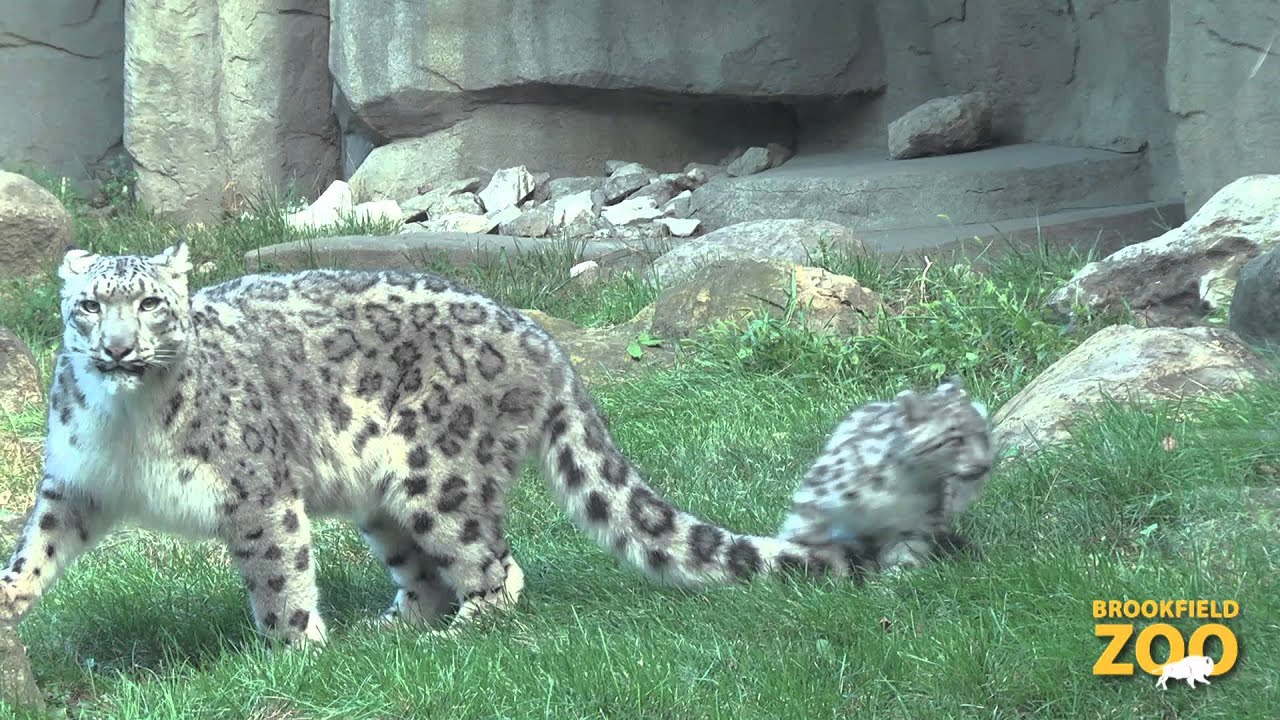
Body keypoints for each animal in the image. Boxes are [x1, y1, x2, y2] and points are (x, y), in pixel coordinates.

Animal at [0, 241, 869, 647]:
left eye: (150, 303)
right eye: (87, 306)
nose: (115, 349)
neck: (127, 427)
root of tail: (542, 339)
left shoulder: (256, 492)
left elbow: (278, 575)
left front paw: (292, 651)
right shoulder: (76, 481)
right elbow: (38, 542)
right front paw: (10, 597)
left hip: (438, 474)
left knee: (497, 564)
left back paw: (466, 625)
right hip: (384, 494)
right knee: (424, 571)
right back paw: (394, 627)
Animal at [777, 376, 995, 570]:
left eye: (984, 434)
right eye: (955, 439)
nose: (985, 464)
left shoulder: (914, 526)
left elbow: (905, 554)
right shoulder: (815, 507)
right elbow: (801, 536)